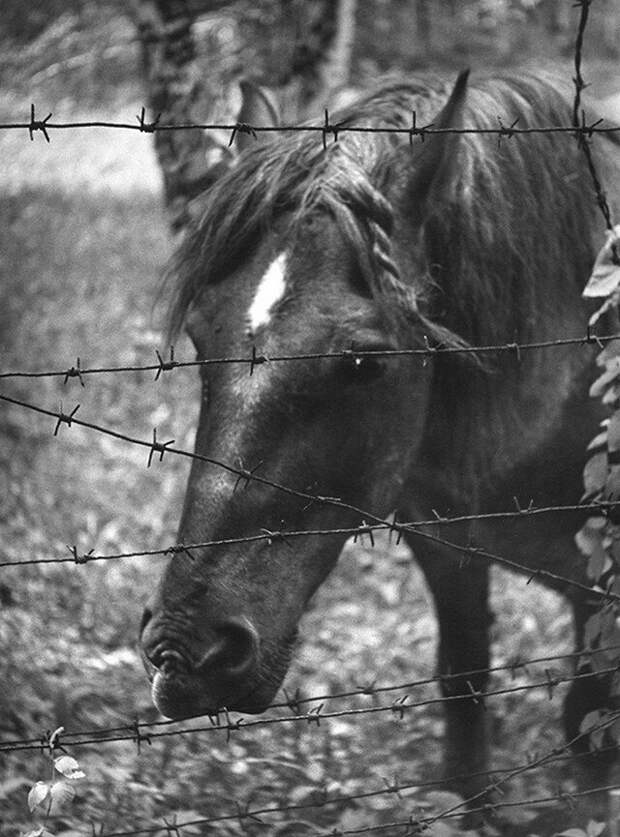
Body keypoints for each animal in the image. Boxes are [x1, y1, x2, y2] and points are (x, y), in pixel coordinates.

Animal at [140, 72, 620, 804]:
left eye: (365, 360)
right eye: (200, 335)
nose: (187, 653)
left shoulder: (599, 580)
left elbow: (589, 730)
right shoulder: (446, 544)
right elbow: (464, 682)